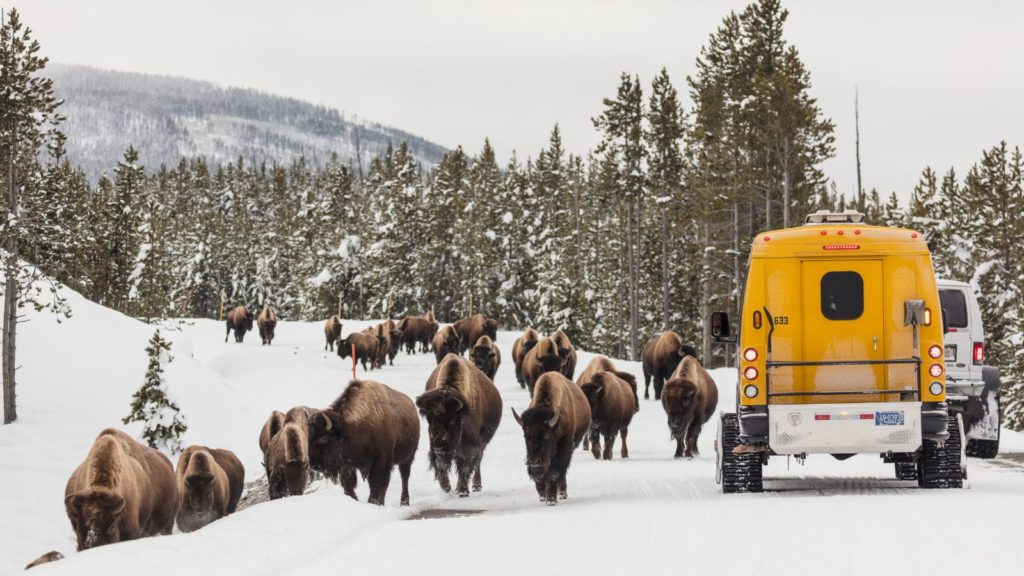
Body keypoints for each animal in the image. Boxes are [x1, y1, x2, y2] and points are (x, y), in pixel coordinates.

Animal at [415, 354, 503, 494]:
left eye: (451, 420)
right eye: (429, 419)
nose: (439, 447)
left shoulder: (470, 444)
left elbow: (465, 465)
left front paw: (462, 490)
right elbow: (441, 464)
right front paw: (446, 486)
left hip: (483, 442)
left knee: (478, 460)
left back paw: (476, 485)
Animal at [512, 373, 593, 502]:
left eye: (547, 435)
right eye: (525, 435)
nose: (535, 461)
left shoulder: (564, 446)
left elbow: (554, 473)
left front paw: (551, 499)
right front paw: (543, 495)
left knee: (562, 471)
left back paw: (562, 493)